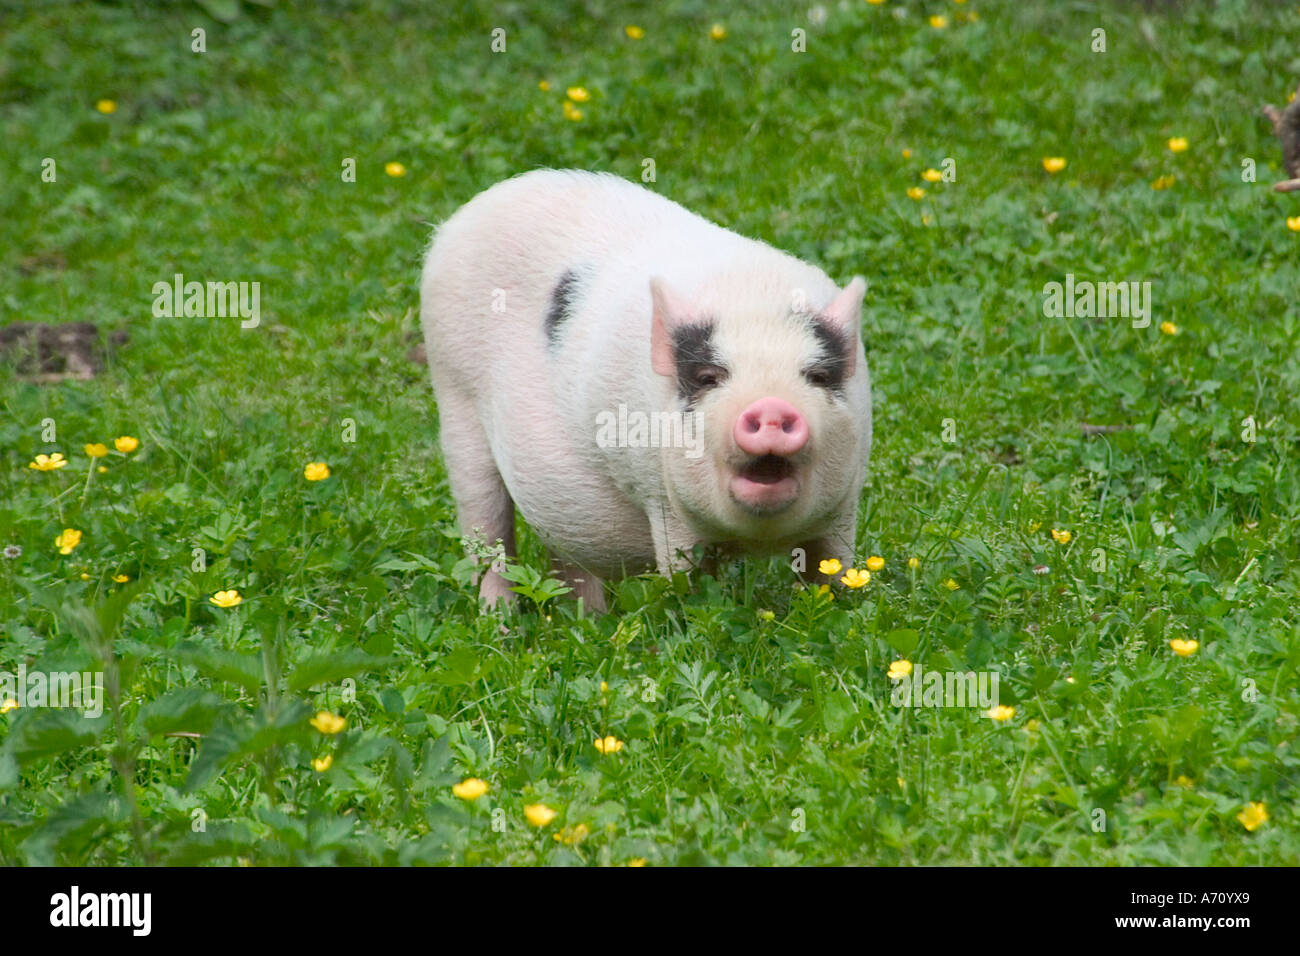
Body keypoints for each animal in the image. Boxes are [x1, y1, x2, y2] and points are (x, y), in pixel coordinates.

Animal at [421, 170, 873, 613]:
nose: (772, 405)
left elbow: (833, 569)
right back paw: (500, 622)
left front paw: (840, 610)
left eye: (817, 376)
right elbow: (682, 579)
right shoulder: (663, 502)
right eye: (708, 377)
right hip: (455, 395)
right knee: (486, 532)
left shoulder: (846, 502)